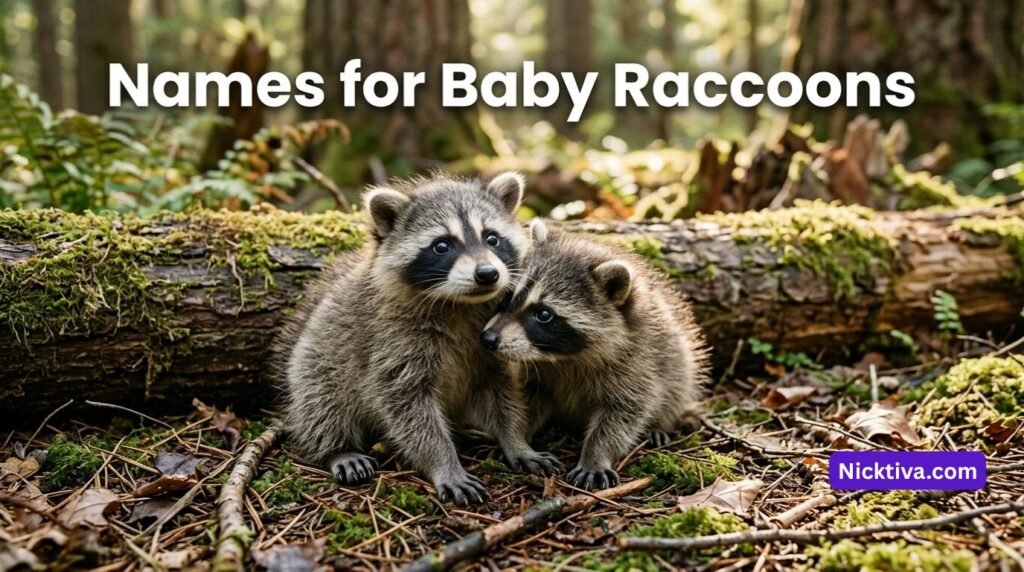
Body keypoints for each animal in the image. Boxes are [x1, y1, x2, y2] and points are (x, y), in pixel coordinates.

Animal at [279, 173, 559, 506]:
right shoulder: (391, 339)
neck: (459, 304)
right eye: (442, 246)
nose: (488, 273)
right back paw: (338, 448)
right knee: (321, 402)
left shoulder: (491, 338)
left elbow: (502, 391)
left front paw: (515, 440)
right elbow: (409, 409)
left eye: (492, 239)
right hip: (314, 362)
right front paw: (443, 462)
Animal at [480, 219, 709, 490]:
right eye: (507, 297)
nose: (488, 339)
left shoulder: (639, 362)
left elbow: (624, 413)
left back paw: (659, 425)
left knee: (676, 385)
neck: (561, 357)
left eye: (544, 314)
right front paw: (517, 437)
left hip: (678, 361)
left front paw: (596, 455)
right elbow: (525, 398)